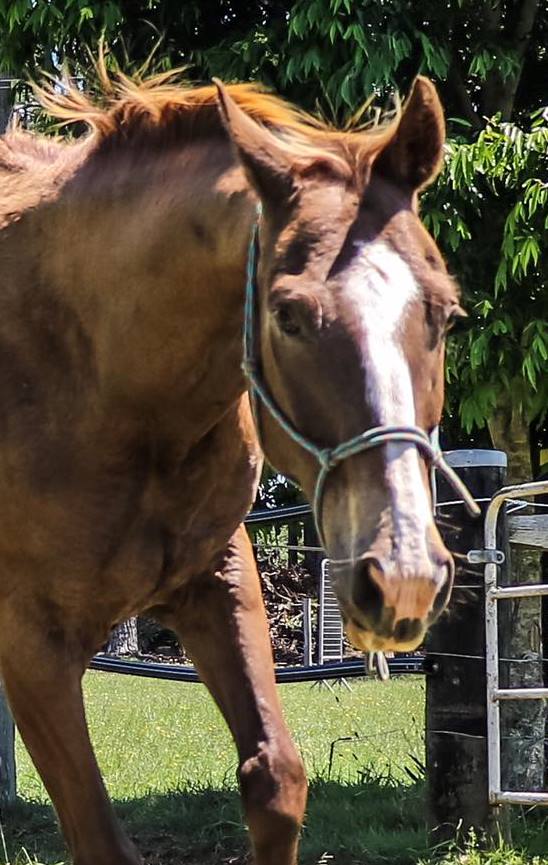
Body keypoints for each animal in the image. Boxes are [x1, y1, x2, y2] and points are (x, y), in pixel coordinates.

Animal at [0, 69, 466, 864]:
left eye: (445, 313)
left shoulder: (216, 578)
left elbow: (276, 780)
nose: (402, 574)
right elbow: (100, 837)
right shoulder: (33, 646)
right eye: (288, 314)